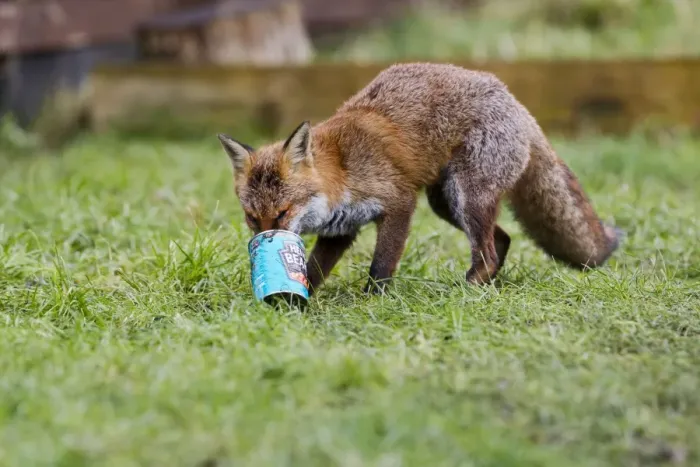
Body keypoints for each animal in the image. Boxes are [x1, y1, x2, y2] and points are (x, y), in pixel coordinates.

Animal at [217, 62, 620, 295]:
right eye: (252, 218)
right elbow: (314, 270)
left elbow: (382, 265)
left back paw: (465, 291)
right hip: (447, 203)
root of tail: (514, 101)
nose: (264, 242)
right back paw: (486, 286)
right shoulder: (341, 229)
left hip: (467, 196)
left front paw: (373, 301)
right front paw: (296, 297)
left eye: (282, 213)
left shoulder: (399, 203)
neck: (343, 169)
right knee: (502, 240)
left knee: (489, 251)